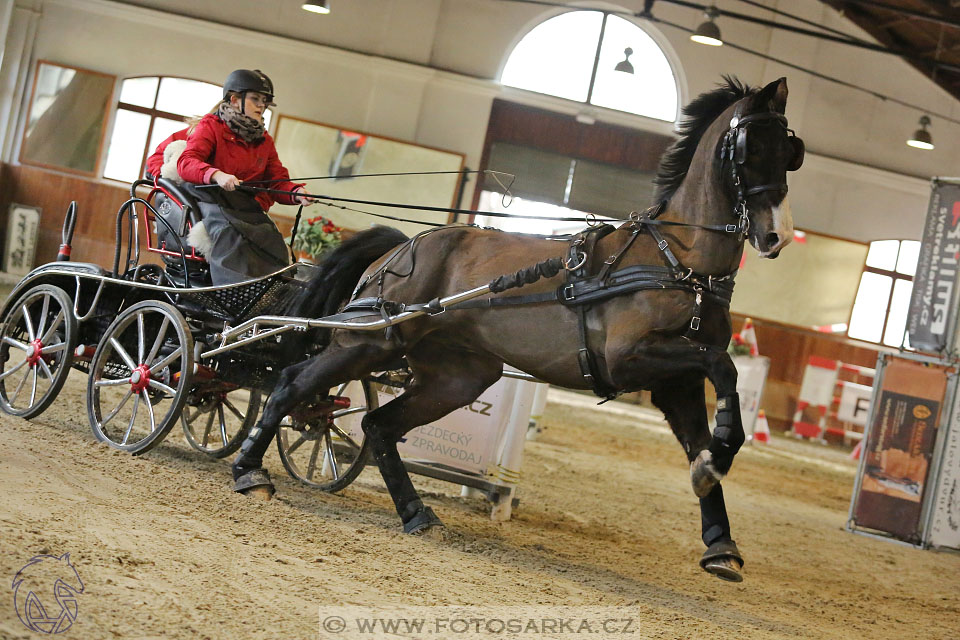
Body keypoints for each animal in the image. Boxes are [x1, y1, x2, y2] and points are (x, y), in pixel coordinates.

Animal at [232, 77, 804, 584]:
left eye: (791, 151)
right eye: (751, 147)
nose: (777, 235)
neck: (678, 259)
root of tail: (403, 246)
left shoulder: (674, 381)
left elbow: (705, 427)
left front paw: (720, 534)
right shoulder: (631, 358)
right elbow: (724, 369)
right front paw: (717, 458)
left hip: (457, 376)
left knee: (378, 425)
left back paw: (417, 514)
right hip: (368, 342)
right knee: (292, 384)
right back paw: (250, 472)